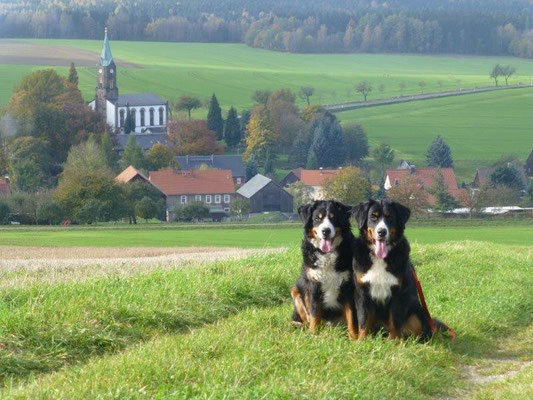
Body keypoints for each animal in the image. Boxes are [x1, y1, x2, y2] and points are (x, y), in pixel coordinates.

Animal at [288, 198, 360, 340]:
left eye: (334, 218)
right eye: (317, 218)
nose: (326, 231)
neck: (327, 254)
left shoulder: (348, 285)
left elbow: (351, 315)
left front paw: (354, 337)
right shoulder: (314, 284)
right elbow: (314, 313)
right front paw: (313, 334)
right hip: (295, 290)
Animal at [352, 200, 446, 340]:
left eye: (390, 217)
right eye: (373, 217)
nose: (381, 232)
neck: (380, 258)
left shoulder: (398, 293)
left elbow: (394, 322)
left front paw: (394, 341)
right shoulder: (362, 291)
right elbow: (364, 321)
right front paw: (361, 341)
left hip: (416, 312)